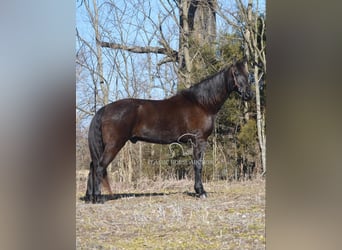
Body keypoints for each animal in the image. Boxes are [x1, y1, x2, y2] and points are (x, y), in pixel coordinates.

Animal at [84, 60, 252, 203]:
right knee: (99, 167)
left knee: (92, 166)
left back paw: (89, 198)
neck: (201, 104)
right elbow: (198, 165)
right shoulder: (199, 140)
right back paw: (98, 198)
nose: (248, 95)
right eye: (236, 73)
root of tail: (105, 109)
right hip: (114, 144)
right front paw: (201, 192)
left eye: (248, 74)